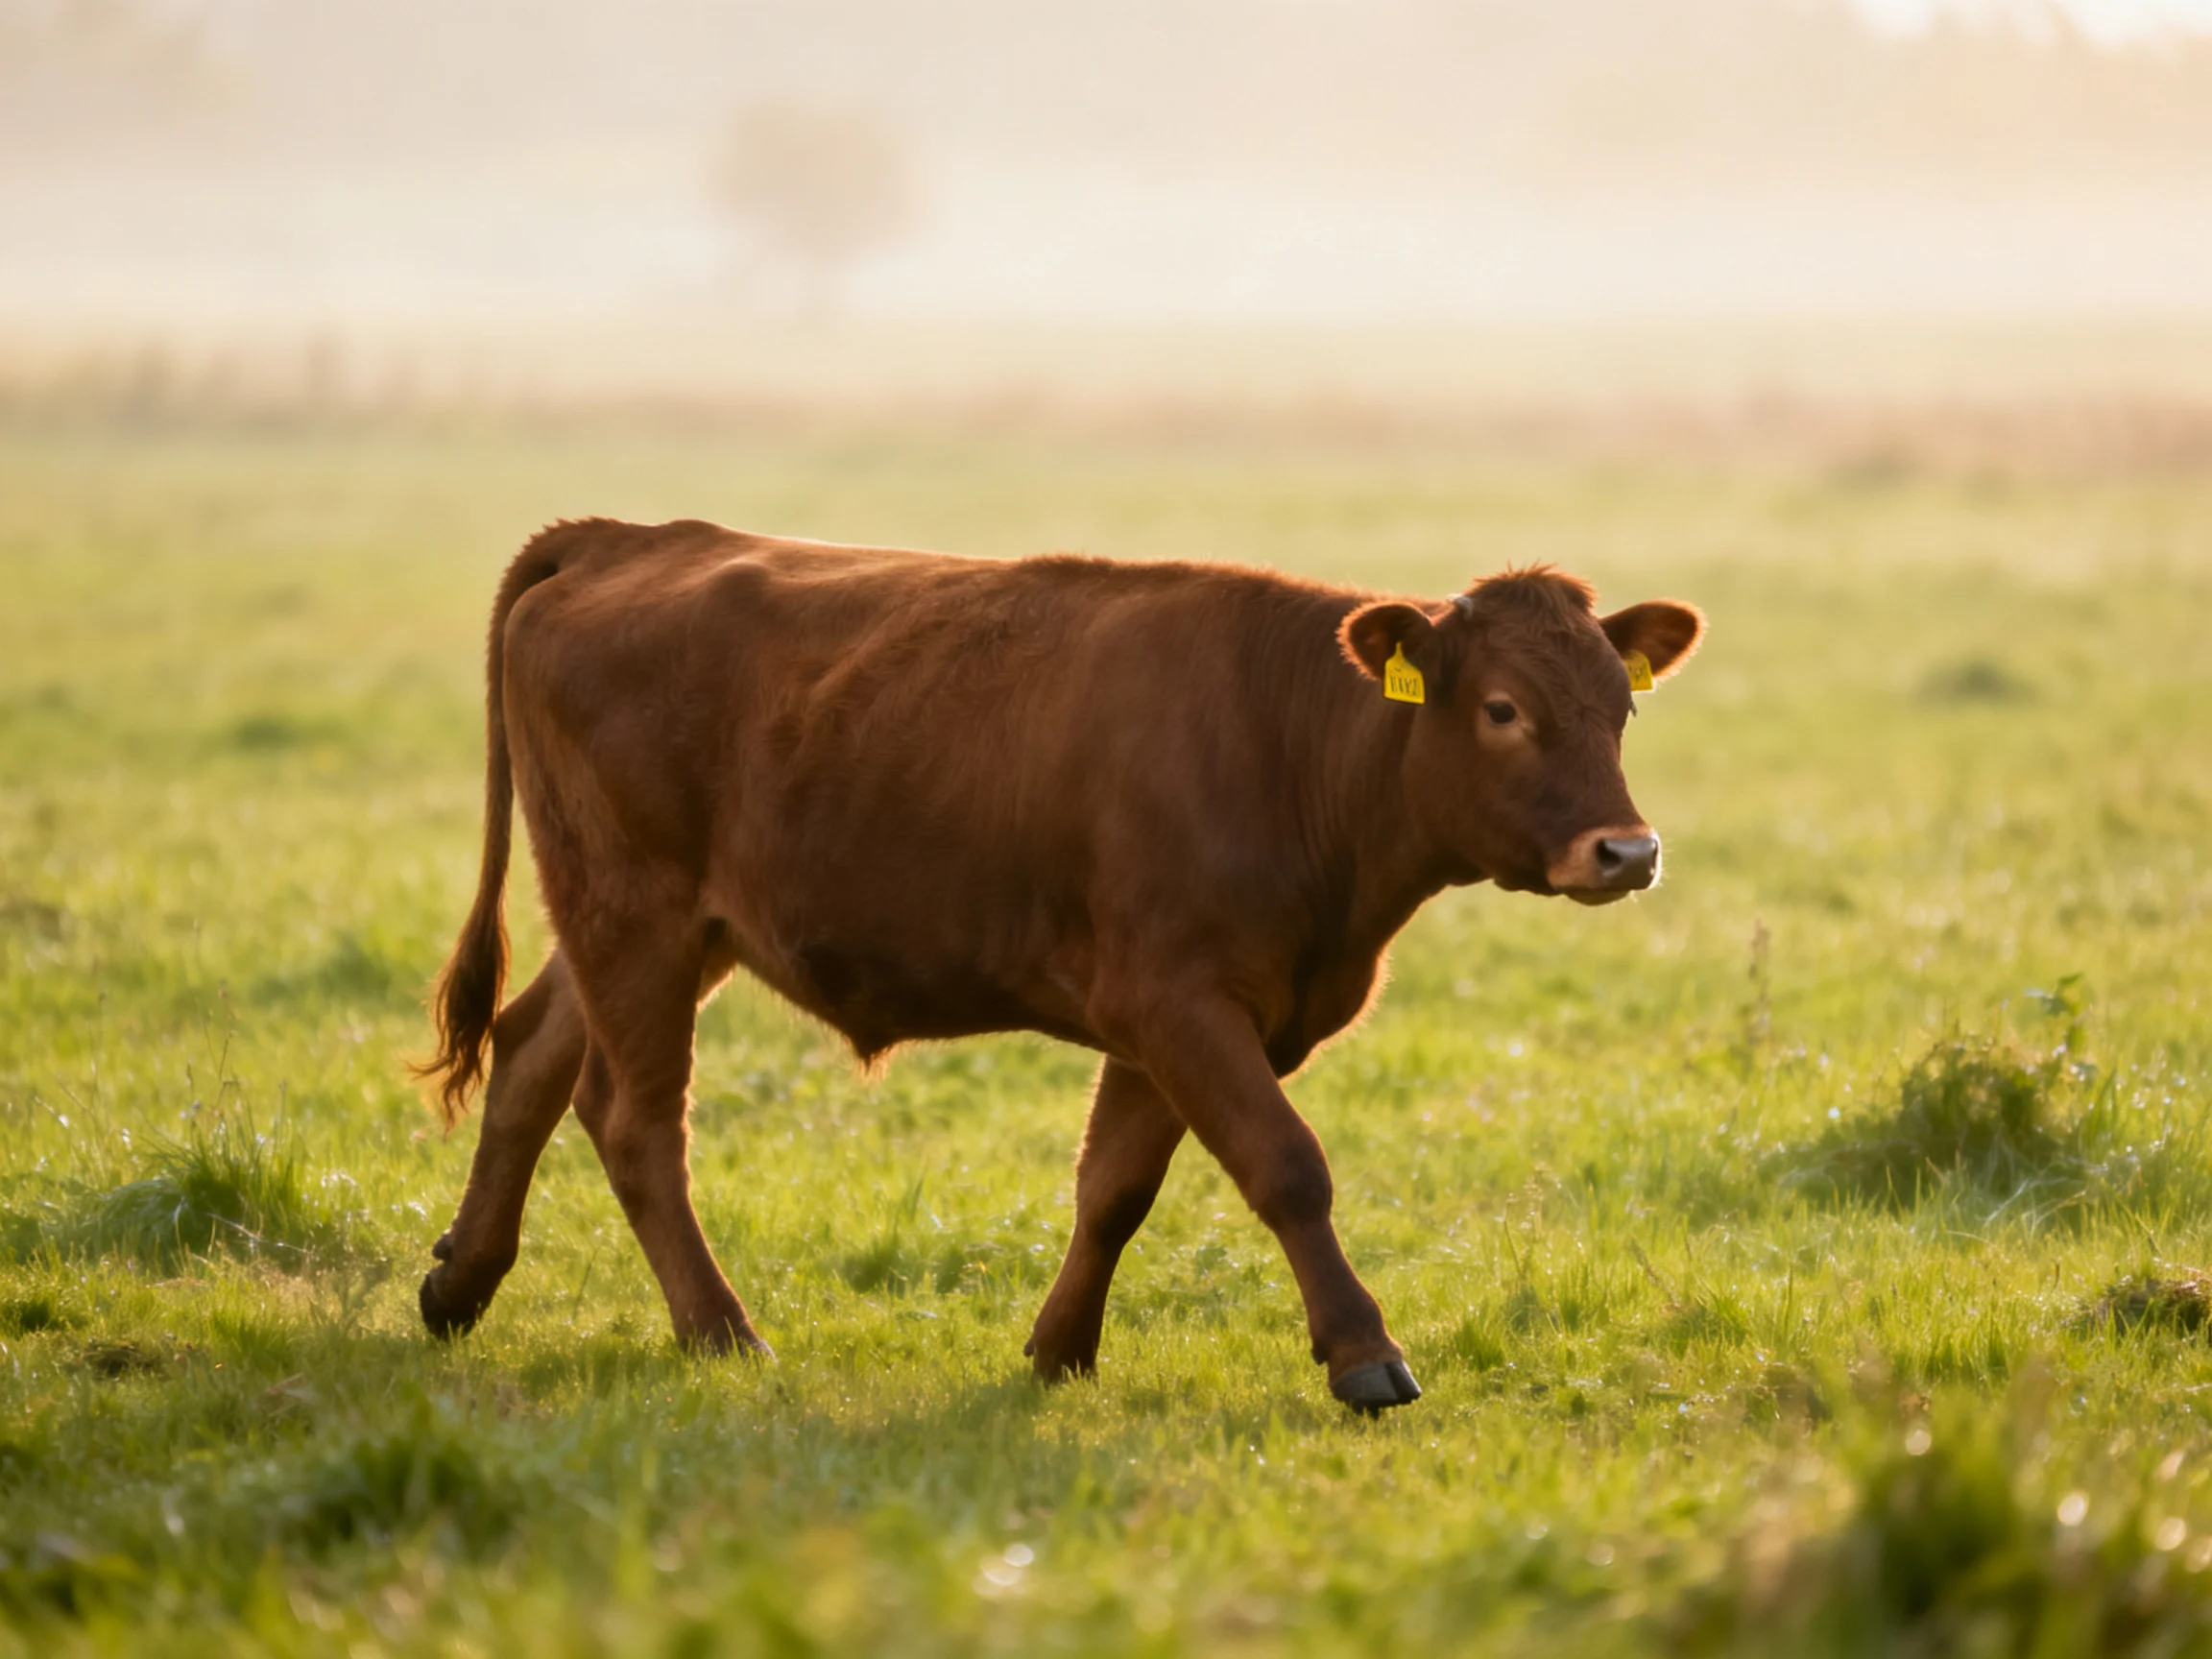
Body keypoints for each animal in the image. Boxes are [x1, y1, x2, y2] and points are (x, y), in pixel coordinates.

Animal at [414, 519, 1703, 1412]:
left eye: (1620, 711)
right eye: (1502, 709)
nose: (1628, 850)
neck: (1294, 746)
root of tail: (627, 535)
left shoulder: (1168, 1023)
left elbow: (1115, 1189)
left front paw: (1058, 1351)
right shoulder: (1179, 1001)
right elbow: (1287, 1167)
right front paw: (1363, 1352)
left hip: (652, 930)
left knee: (530, 1058)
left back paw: (461, 1281)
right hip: (637, 914)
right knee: (635, 1121)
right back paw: (720, 1332)